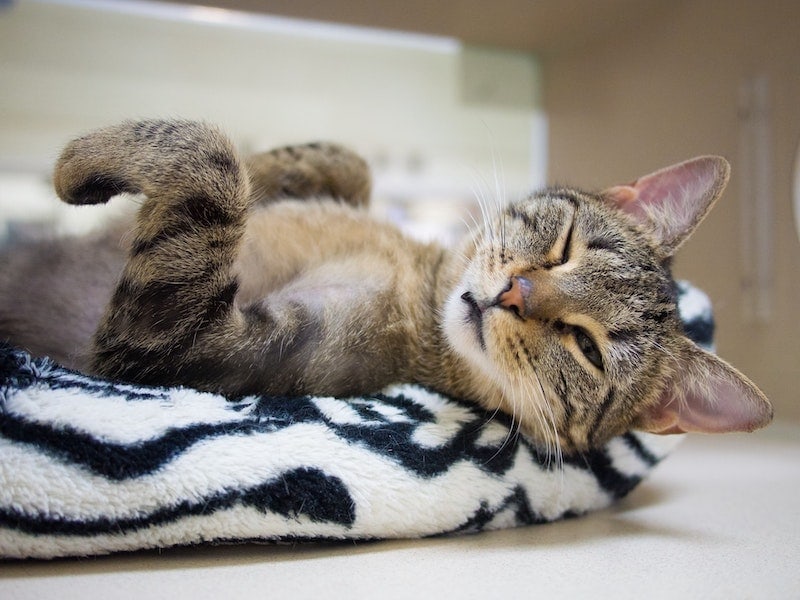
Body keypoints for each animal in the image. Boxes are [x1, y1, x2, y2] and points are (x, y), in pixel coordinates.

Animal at [1, 118, 776, 454]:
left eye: (585, 348)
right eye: (563, 248)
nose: (515, 294)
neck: (420, 281)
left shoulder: (190, 348)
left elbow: (215, 163)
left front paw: (76, 164)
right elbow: (339, 163)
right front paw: (284, 166)